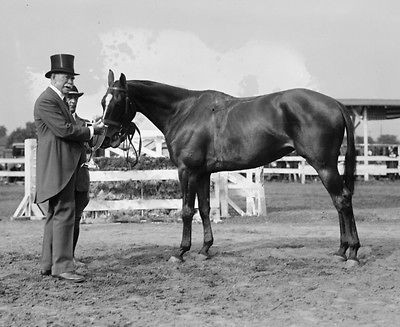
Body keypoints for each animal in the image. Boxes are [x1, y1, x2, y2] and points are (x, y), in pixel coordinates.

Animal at [100, 70, 360, 266]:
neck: (184, 112)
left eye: (118, 102)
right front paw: (205, 249)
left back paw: (352, 253)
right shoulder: (202, 173)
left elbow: (187, 210)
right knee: (340, 201)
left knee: (342, 200)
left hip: (324, 165)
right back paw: (341, 250)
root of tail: (336, 104)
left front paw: (181, 252)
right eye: (103, 101)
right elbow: (205, 209)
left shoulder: (187, 171)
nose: (107, 138)